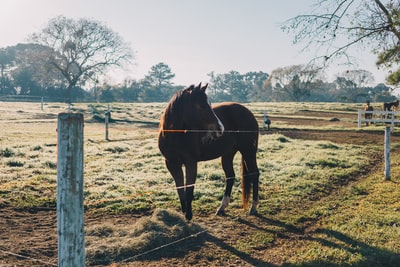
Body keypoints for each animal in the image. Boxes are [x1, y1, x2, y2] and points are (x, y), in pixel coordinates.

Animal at [158, 84, 260, 222]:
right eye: (202, 106)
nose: (221, 128)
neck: (176, 135)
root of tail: (248, 113)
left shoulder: (191, 163)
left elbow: (189, 188)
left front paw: (188, 215)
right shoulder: (172, 164)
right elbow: (180, 189)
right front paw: (184, 213)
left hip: (248, 151)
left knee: (255, 174)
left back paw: (253, 207)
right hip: (228, 154)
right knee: (230, 176)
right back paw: (222, 207)